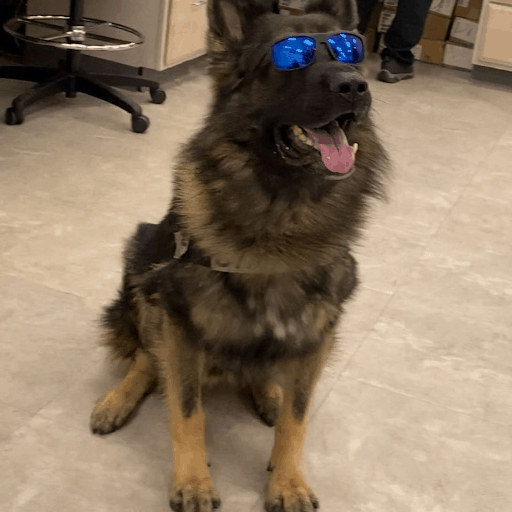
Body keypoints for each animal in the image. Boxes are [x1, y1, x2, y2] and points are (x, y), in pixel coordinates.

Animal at [91, 0, 388, 510]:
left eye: (351, 50)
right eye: (291, 56)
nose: (354, 85)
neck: (282, 212)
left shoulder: (319, 332)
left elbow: (297, 418)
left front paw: (287, 481)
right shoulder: (181, 323)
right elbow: (187, 411)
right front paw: (192, 481)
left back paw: (267, 391)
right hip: (143, 265)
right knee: (148, 357)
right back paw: (119, 399)